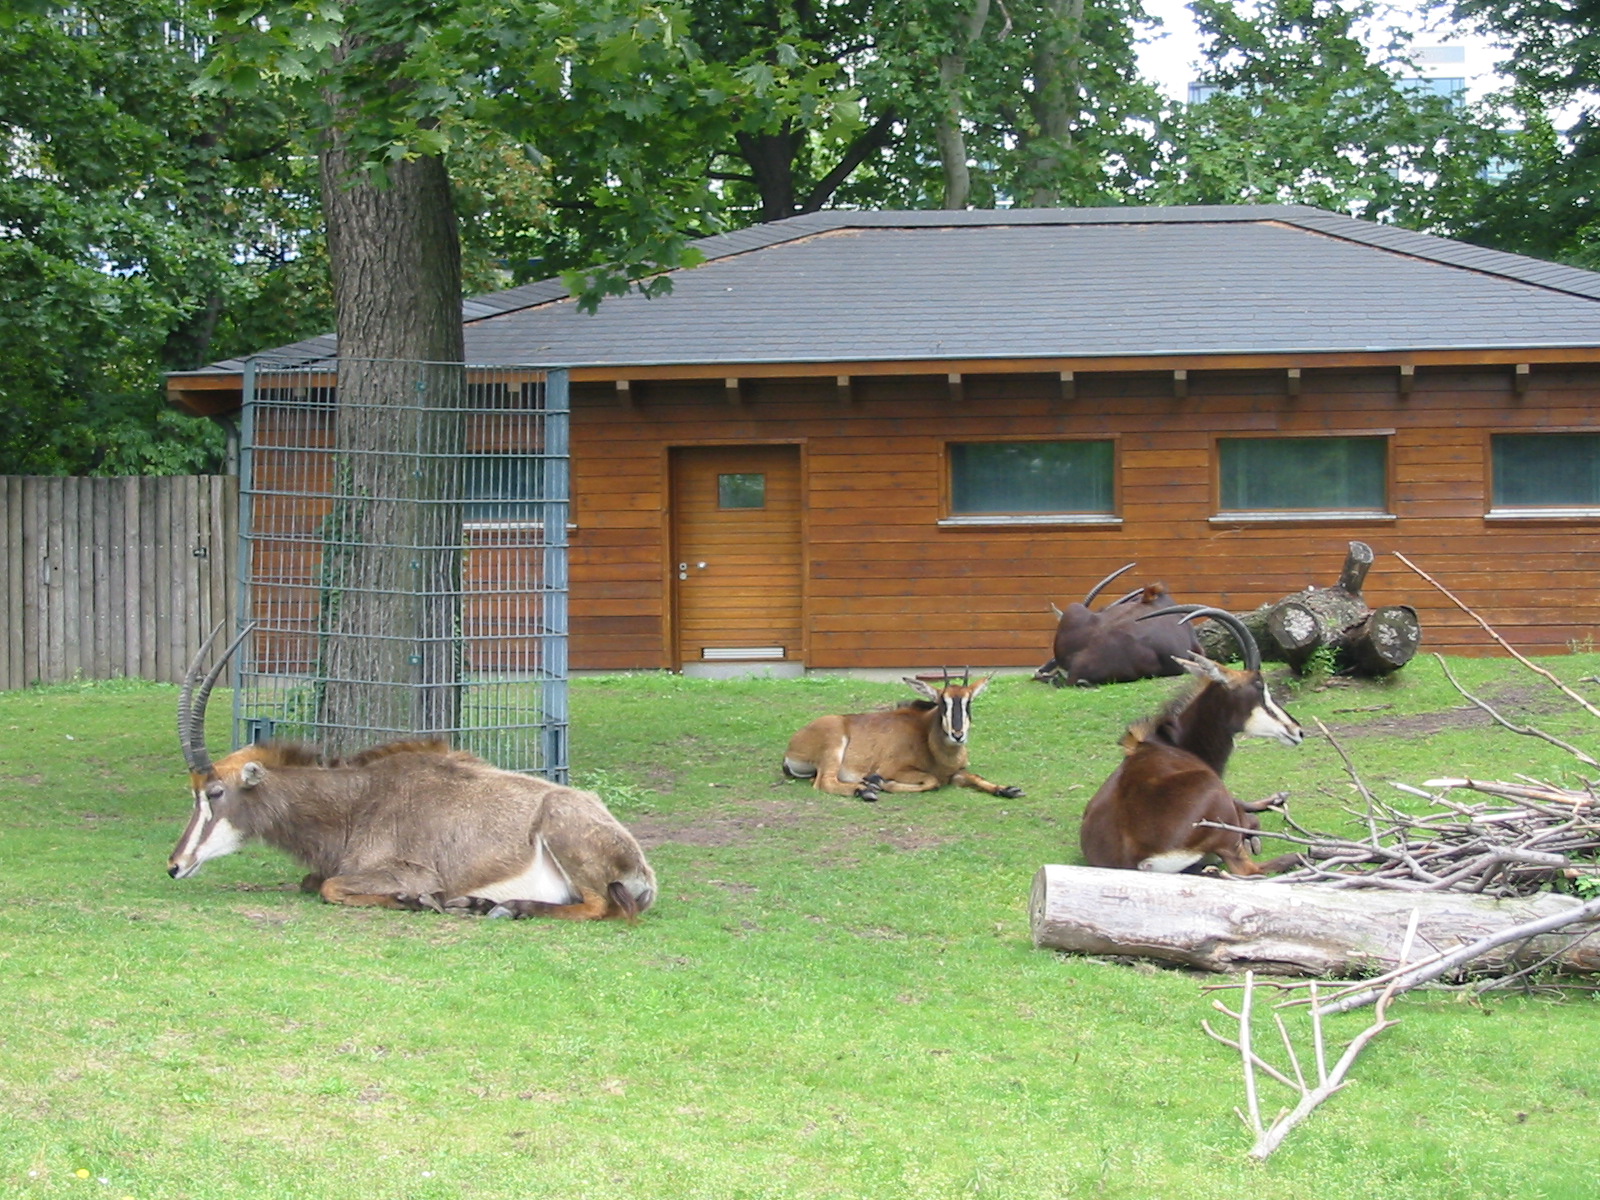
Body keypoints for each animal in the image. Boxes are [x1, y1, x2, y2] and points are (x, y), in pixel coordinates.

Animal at [169, 625, 656, 920]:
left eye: (214, 792)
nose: (175, 866)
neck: (356, 802)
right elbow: (313, 882)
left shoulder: (412, 871)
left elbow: (329, 886)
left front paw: (412, 900)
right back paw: (479, 902)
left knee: (597, 906)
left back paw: (507, 906)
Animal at [782, 671, 1024, 803]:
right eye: (942, 702)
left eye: (969, 702)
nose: (958, 735)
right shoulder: (894, 769)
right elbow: (932, 781)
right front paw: (879, 782)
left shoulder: (956, 772)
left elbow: (975, 777)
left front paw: (1007, 789)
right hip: (834, 746)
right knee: (824, 782)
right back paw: (865, 790)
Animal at [1077, 607, 1304, 875]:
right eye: (1259, 686)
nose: (1297, 731)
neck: (1171, 743)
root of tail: (1140, 862)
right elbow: (1250, 817)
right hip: (1221, 817)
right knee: (1248, 869)